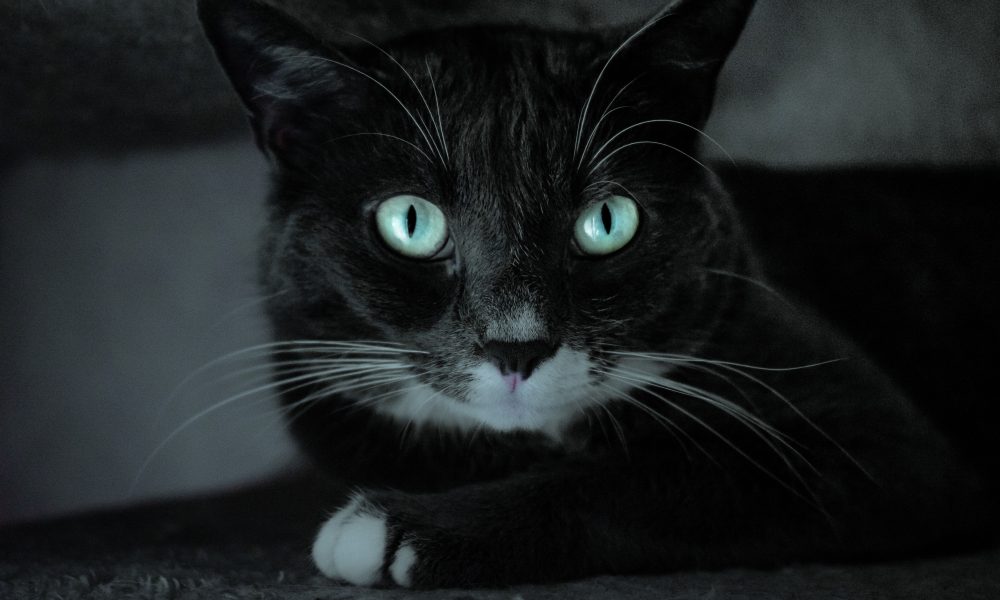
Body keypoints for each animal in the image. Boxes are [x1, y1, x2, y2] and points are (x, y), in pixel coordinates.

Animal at [195, 0, 992, 588]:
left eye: (607, 222)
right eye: (411, 222)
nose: (517, 345)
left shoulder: (874, 440)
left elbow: (662, 475)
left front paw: (400, 530)